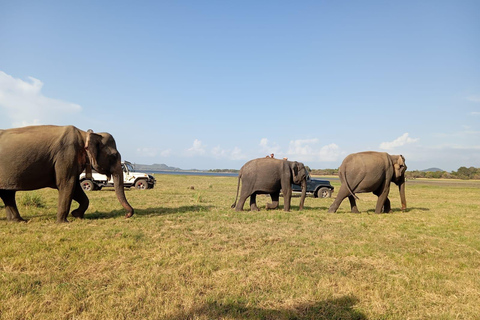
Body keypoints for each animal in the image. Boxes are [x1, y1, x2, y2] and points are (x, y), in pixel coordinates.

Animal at [0, 125, 135, 222]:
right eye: (114, 155)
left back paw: (18, 221)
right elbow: (66, 184)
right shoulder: (66, 155)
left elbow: (76, 188)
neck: (85, 134)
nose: (126, 215)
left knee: (7, 193)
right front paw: (63, 222)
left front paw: (76, 215)